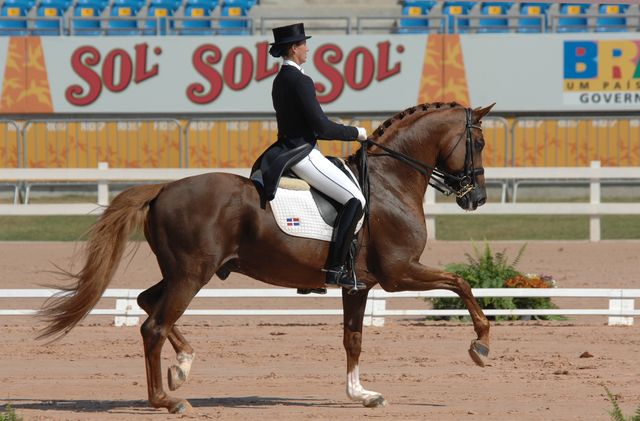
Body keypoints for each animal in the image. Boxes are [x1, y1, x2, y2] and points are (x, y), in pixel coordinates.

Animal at [40, 101, 496, 410]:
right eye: (477, 142)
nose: (477, 199)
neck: (389, 183)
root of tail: (163, 188)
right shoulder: (399, 273)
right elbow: (461, 283)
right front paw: (481, 344)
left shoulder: (359, 284)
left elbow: (353, 338)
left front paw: (361, 394)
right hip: (191, 274)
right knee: (153, 325)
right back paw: (166, 400)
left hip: (181, 272)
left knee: (146, 303)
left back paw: (182, 366)